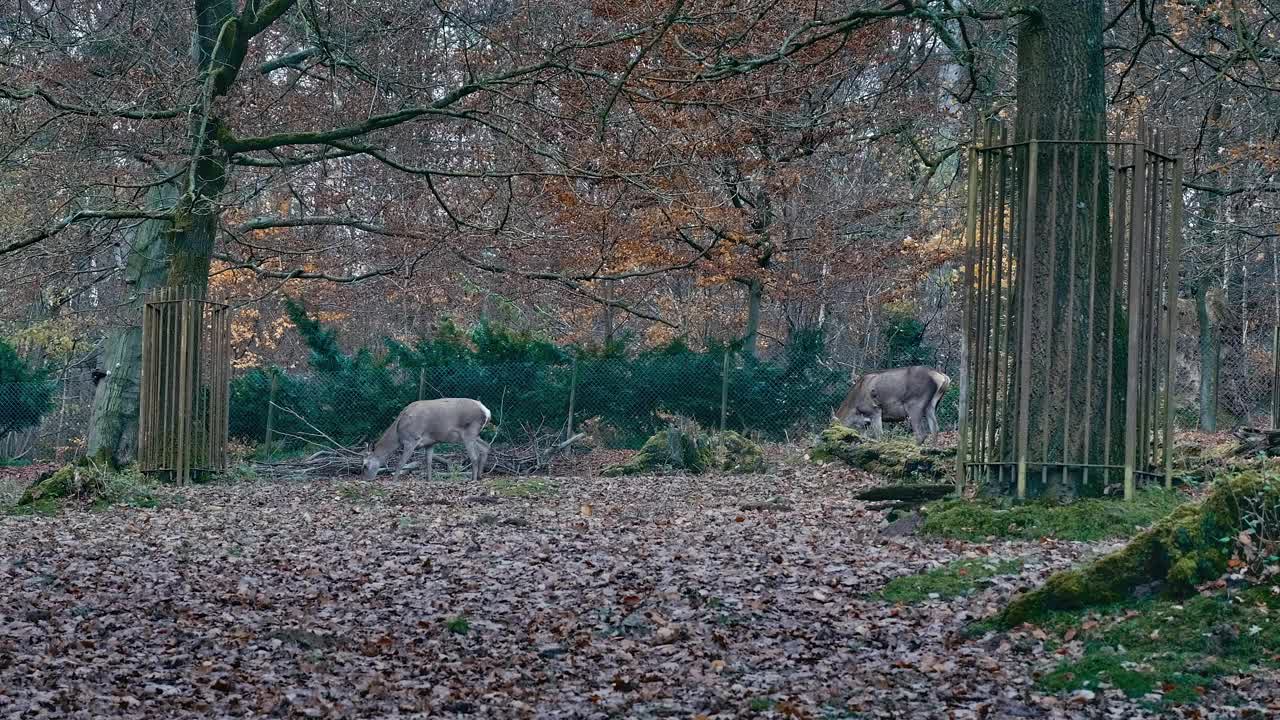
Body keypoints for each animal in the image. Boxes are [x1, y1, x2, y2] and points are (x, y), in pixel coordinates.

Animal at [368, 394, 496, 479]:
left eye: (365, 465)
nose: (365, 479)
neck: (398, 432)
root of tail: (487, 411)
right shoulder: (430, 442)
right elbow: (428, 462)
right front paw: (429, 480)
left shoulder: (411, 439)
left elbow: (400, 463)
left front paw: (394, 481)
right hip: (475, 435)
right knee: (486, 446)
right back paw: (479, 476)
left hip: (469, 433)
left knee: (474, 456)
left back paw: (473, 479)